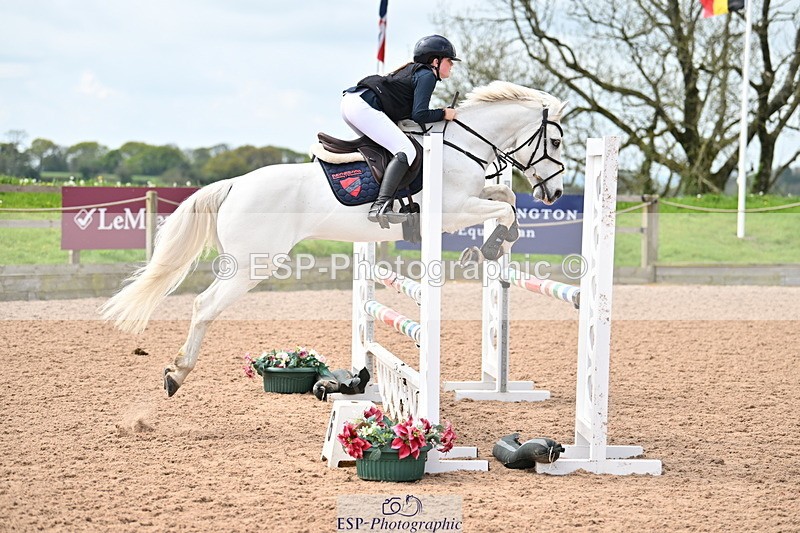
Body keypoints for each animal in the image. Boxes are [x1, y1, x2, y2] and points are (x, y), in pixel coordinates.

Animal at [100, 81, 567, 396]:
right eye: (559, 141)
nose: (556, 194)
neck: (460, 147)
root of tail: (233, 184)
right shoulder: (451, 213)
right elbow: (504, 208)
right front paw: (487, 247)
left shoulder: (472, 198)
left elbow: (505, 197)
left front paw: (498, 241)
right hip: (253, 263)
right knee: (204, 306)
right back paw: (176, 373)